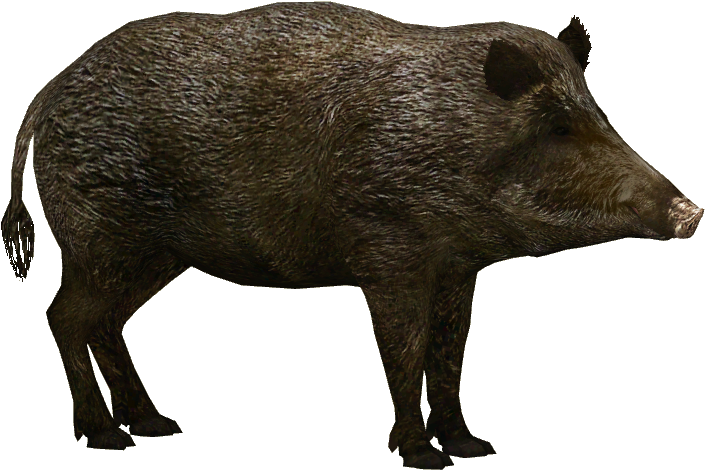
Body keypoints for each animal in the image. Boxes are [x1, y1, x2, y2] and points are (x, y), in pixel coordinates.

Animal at [2, 2, 701, 468]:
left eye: (600, 115)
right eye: (556, 127)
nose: (691, 212)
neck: (449, 142)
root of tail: (53, 90)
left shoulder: (458, 267)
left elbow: (450, 353)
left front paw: (474, 446)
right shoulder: (388, 254)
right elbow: (406, 351)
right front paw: (423, 458)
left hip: (156, 254)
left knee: (103, 322)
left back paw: (159, 425)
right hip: (98, 235)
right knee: (65, 316)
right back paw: (110, 437)